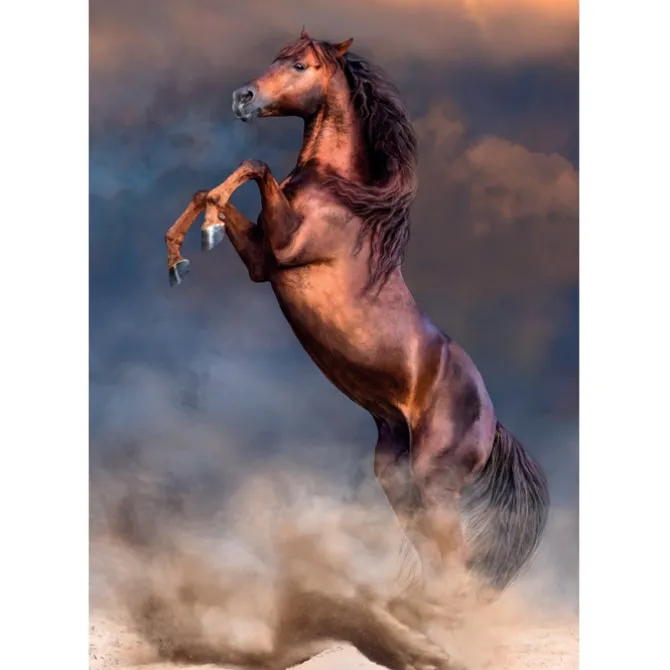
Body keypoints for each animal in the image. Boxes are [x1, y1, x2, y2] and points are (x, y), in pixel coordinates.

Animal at [164, 30, 549, 598]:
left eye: (300, 65)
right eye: (275, 58)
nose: (242, 98)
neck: (339, 194)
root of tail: (492, 422)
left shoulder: (283, 248)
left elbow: (254, 166)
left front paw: (205, 233)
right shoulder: (261, 260)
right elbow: (208, 191)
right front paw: (179, 257)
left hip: (436, 483)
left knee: (454, 564)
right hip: (399, 478)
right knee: (437, 561)